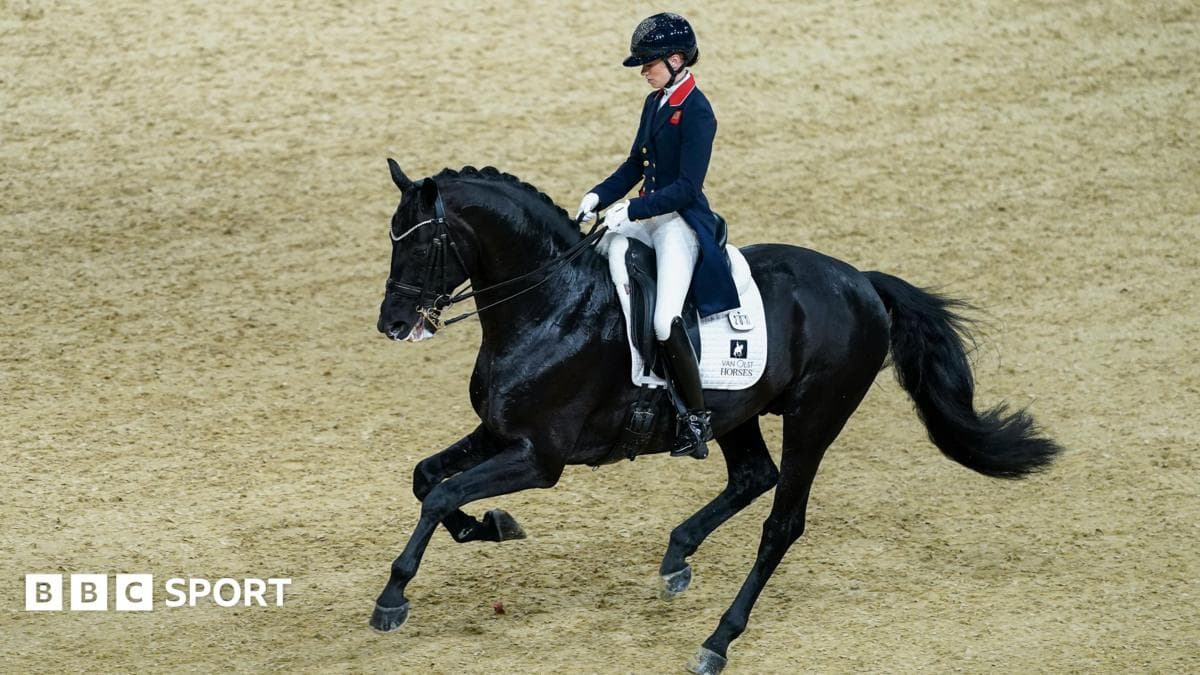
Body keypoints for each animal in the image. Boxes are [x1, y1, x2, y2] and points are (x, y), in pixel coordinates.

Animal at [370, 161, 1062, 674]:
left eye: (423, 243)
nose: (393, 324)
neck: (551, 305)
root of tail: (861, 283)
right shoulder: (499, 433)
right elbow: (426, 478)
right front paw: (490, 526)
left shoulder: (540, 458)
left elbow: (442, 493)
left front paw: (393, 598)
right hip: (738, 411)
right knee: (753, 475)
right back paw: (678, 556)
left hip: (814, 418)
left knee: (782, 523)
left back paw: (716, 641)